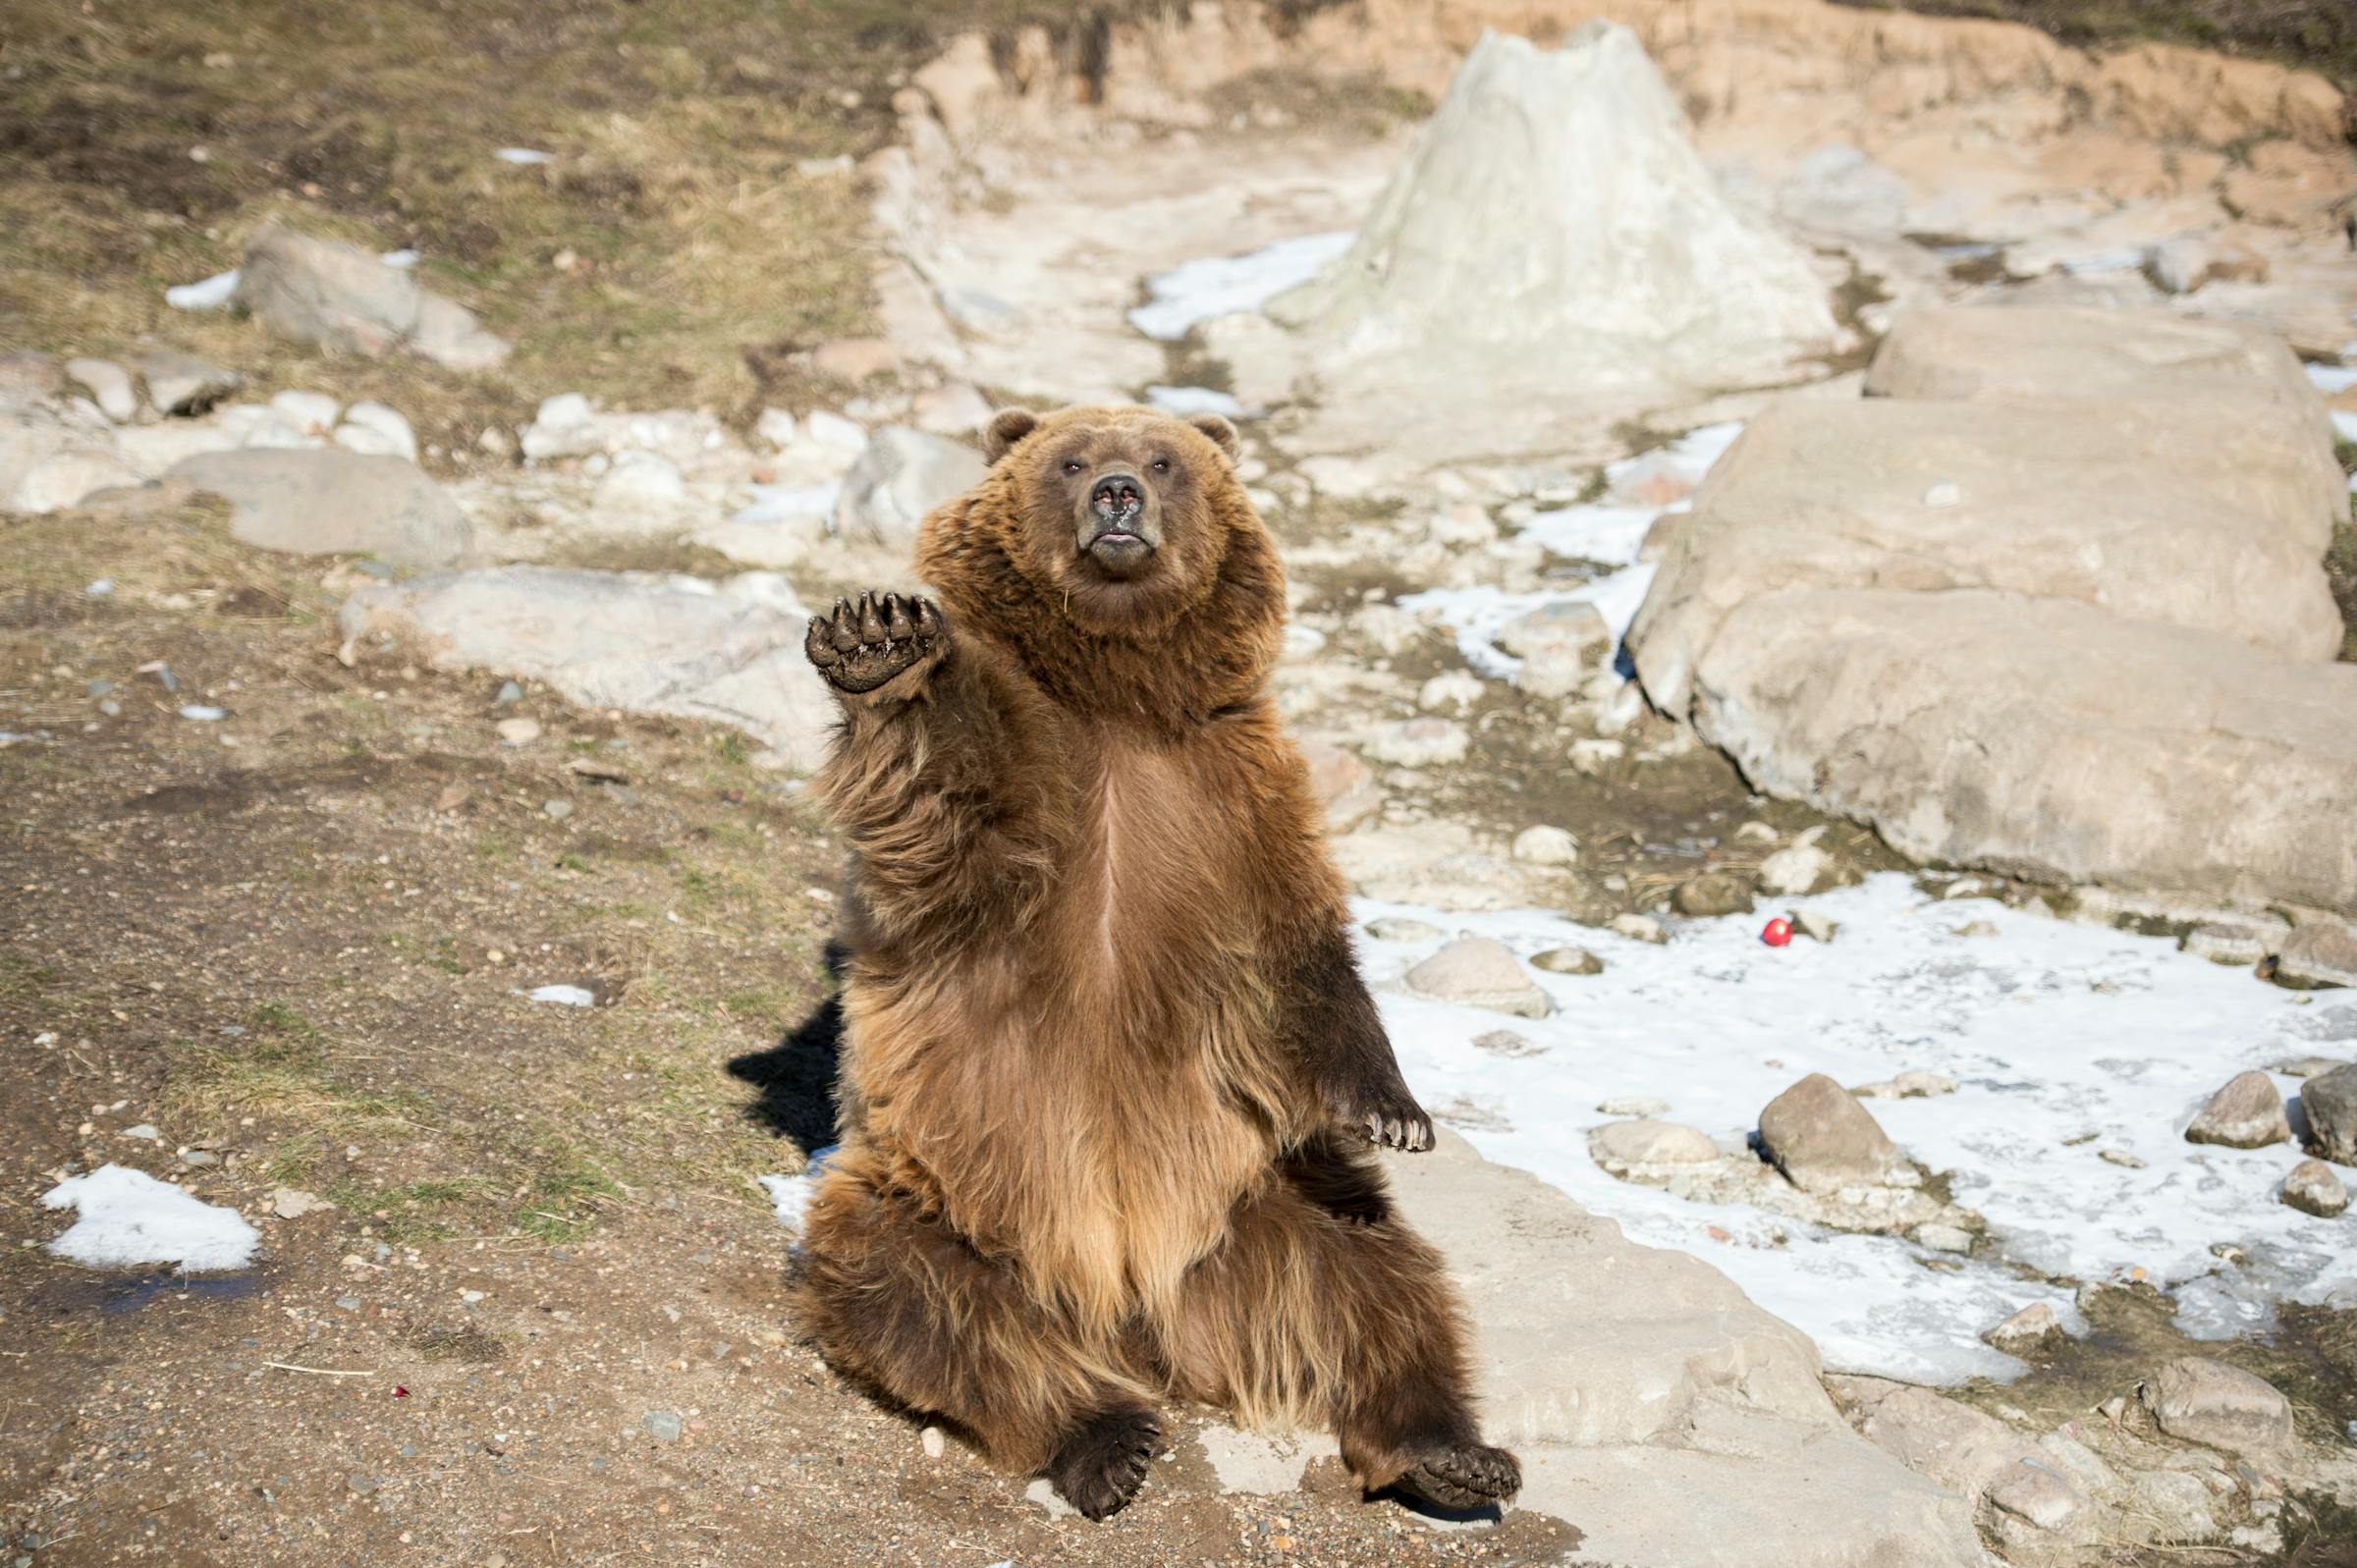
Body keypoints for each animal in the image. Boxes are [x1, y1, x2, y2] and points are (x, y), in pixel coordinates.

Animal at [794, 402, 1520, 1521]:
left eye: (1165, 458)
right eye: (1070, 458)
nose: (1119, 494)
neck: (1120, 694)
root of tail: (1138, 1313)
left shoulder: (1235, 792)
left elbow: (1298, 953)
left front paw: (1396, 1109)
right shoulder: (1027, 795)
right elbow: (946, 792)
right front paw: (879, 642)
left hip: (1265, 1200)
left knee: (1377, 1275)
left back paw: (1451, 1451)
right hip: (945, 1200)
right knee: (924, 1301)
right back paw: (1106, 1440)